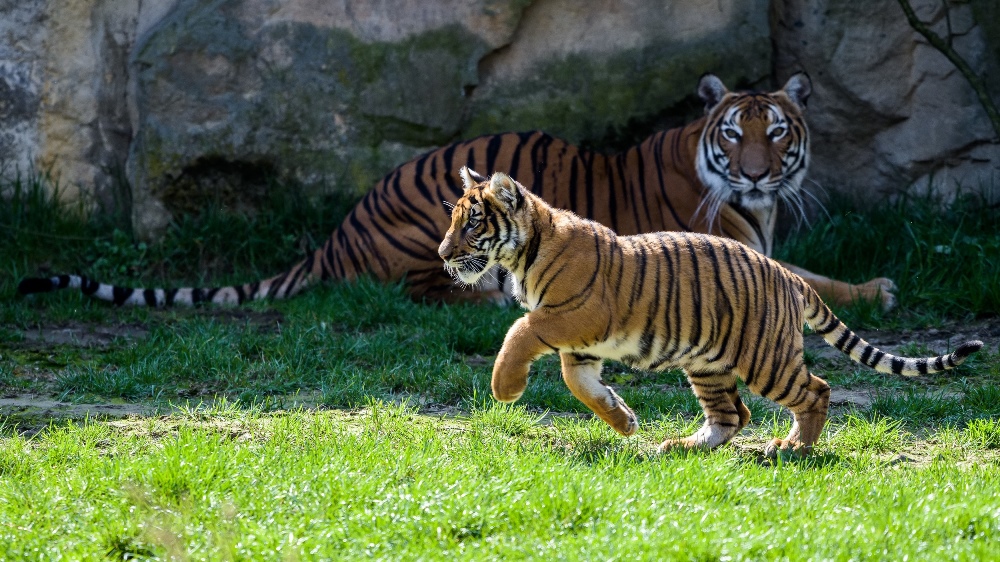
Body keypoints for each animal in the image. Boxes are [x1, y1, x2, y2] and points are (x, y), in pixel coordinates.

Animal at [15, 72, 896, 308]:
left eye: (776, 132)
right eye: (735, 134)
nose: (755, 170)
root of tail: (335, 233)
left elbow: (813, 276)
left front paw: (875, 287)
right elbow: (801, 283)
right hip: (443, 220)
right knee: (425, 289)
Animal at [440, 167, 984, 456]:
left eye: (473, 224)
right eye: (453, 220)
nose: (444, 254)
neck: (522, 254)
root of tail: (789, 275)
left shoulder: (572, 315)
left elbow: (520, 329)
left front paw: (505, 389)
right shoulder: (581, 345)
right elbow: (580, 384)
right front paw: (625, 422)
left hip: (765, 359)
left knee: (816, 390)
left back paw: (792, 449)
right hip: (707, 363)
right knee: (734, 414)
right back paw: (680, 447)